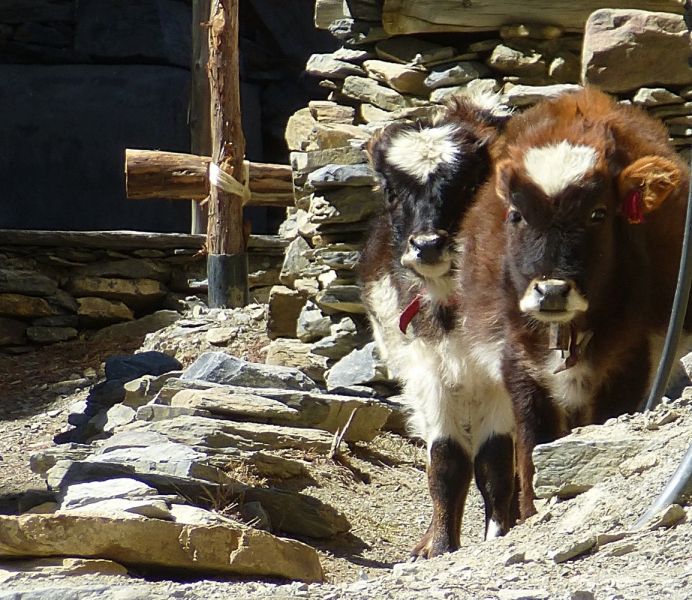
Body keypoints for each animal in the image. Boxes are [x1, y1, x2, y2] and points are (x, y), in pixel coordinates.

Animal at [360, 94, 516, 556]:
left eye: (469, 187)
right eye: (392, 191)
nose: (427, 245)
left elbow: (496, 460)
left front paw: (498, 534)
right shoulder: (426, 371)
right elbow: (446, 462)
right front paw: (441, 546)